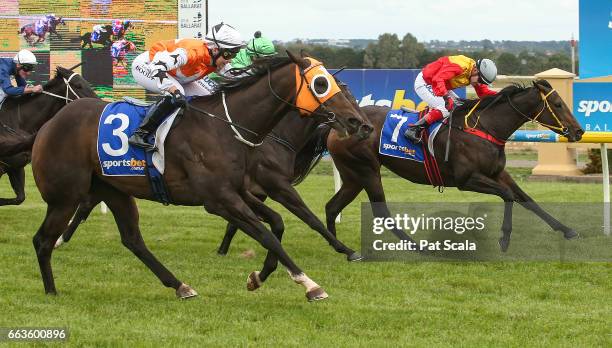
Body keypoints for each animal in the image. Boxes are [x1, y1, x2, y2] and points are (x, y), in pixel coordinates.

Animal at [29, 53, 372, 300]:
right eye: (321, 85)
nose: (360, 123)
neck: (225, 127)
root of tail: (49, 123)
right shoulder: (221, 199)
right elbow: (269, 232)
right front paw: (309, 283)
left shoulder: (240, 190)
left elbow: (276, 225)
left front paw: (258, 276)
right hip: (65, 196)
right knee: (42, 239)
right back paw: (52, 290)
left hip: (114, 189)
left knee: (132, 240)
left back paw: (180, 285)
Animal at [328, 80, 584, 251]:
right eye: (558, 104)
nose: (579, 131)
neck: (485, 127)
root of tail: (337, 126)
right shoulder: (466, 179)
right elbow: (508, 195)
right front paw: (504, 238)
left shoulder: (498, 173)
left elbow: (527, 200)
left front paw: (567, 230)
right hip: (366, 170)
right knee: (381, 212)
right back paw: (419, 246)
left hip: (353, 176)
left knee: (332, 206)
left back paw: (338, 245)